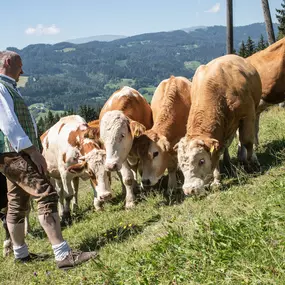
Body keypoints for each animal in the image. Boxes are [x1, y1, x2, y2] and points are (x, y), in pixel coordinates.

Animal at [176, 53, 260, 195]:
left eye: (201, 161)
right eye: (180, 164)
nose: (189, 190)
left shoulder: (248, 113)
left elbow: (247, 140)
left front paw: (250, 163)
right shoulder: (217, 135)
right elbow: (217, 152)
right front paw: (216, 181)